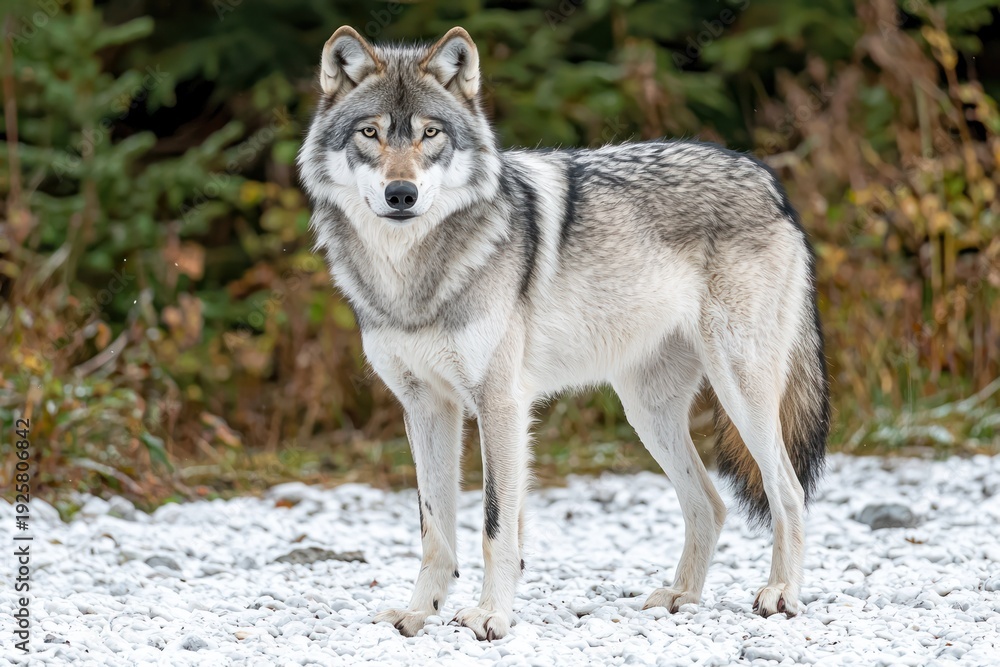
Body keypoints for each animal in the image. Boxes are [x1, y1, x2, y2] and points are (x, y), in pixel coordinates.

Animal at [297, 26, 830, 640]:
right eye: (370, 133)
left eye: (431, 133)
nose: (401, 194)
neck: (411, 278)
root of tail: (766, 177)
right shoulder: (426, 405)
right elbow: (435, 529)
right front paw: (418, 612)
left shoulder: (500, 404)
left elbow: (495, 526)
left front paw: (490, 615)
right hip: (646, 411)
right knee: (710, 503)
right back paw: (681, 596)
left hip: (740, 392)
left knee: (787, 491)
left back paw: (781, 593)